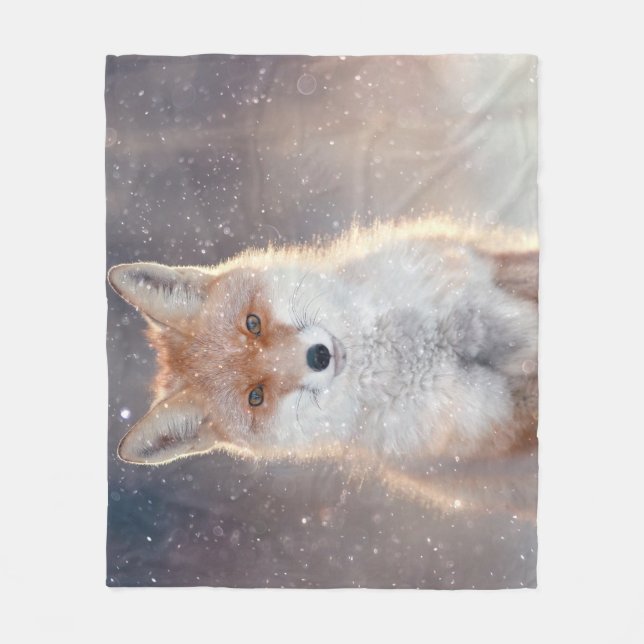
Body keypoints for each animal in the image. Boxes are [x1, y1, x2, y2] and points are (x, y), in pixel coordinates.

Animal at [107, 216, 538, 474]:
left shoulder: (484, 303)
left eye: (253, 323)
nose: (319, 356)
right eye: (256, 396)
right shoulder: (490, 415)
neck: (395, 351)